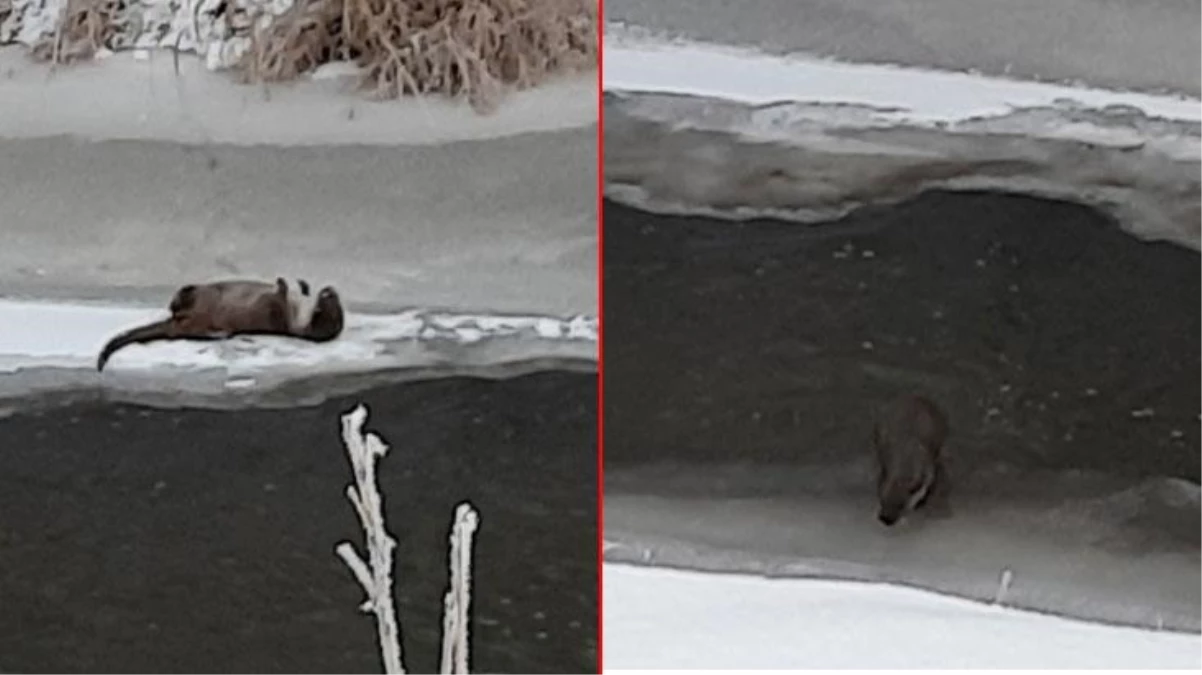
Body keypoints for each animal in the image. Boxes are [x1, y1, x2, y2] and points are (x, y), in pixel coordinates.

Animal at [94, 278, 343, 372]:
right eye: (331, 296)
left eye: (326, 302)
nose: (329, 289)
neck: (296, 310)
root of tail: (177, 321)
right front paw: (300, 283)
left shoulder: (277, 315)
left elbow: (273, 302)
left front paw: (282, 285)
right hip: (196, 295)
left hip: (193, 322)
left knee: (191, 329)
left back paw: (218, 333)